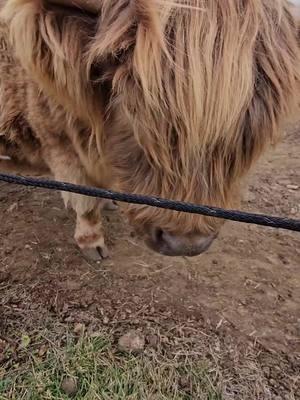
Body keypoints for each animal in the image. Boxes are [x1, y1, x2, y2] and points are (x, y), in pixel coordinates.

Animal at [0, 0, 300, 260]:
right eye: (130, 105)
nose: (186, 243)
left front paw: (110, 203)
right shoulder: (60, 146)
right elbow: (85, 202)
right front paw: (91, 241)